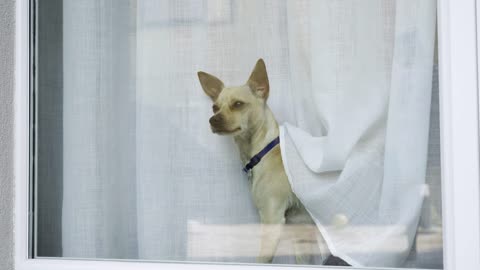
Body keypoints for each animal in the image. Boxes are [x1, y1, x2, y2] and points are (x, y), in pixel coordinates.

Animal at [197, 58, 320, 264]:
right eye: (214, 107)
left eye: (238, 104)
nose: (213, 119)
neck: (262, 152)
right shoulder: (300, 230)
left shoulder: (272, 219)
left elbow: (261, 259)